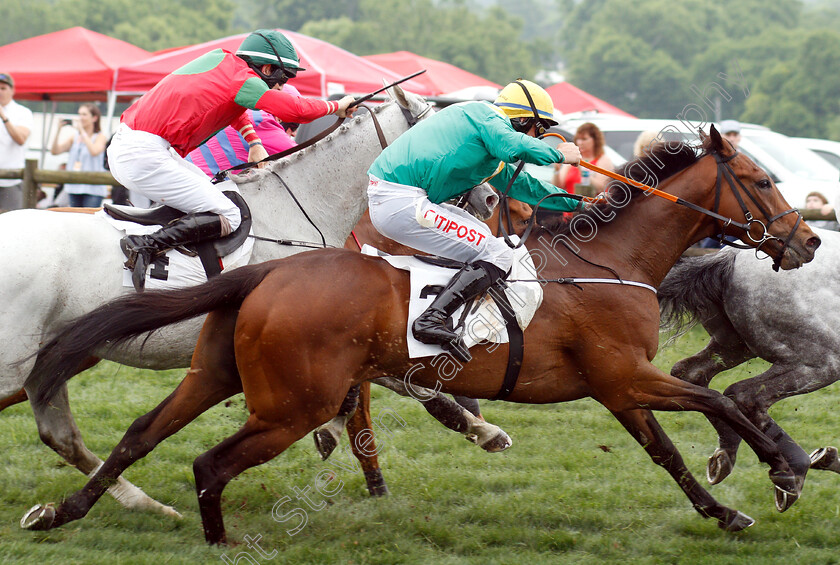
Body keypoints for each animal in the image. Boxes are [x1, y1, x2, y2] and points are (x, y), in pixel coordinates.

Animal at [0, 85, 434, 516]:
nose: (465, 200)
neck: (301, 208)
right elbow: (370, 397)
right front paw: (338, 440)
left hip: (54, 357)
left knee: (59, 433)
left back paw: (143, 503)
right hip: (19, 362)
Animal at [21, 128, 820, 540]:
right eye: (761, 180)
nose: (809, 240)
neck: (611, 263)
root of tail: (266, 272)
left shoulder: (621, 389)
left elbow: (669, 451)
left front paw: (728, 507)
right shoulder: (623, 376)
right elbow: (721, 402)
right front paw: (787, 467)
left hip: (215, 374)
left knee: (140, 434)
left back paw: (65, 511)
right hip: (292, 404)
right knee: (208, 464)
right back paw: (217, 540)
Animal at [660, 226, 840, 512]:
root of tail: (730, 256)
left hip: (733, 345)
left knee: (692, 374)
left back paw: (727, 451)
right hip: (821, 362)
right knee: (748, 395)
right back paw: (794, 470)